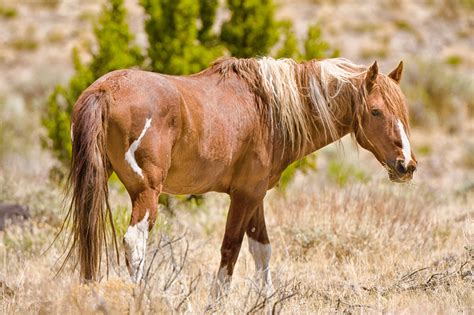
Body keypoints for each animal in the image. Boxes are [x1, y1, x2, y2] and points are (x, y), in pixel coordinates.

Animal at [64, 55, 418, 298]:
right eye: (376, 111)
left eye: (404, 111)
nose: (407, 165)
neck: (268, 109)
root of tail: (104, 90)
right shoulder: (244, 195)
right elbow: (230, 249)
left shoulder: (255, 195)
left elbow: (261, 249)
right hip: (146, 191)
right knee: (135, 242)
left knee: (88, 232)